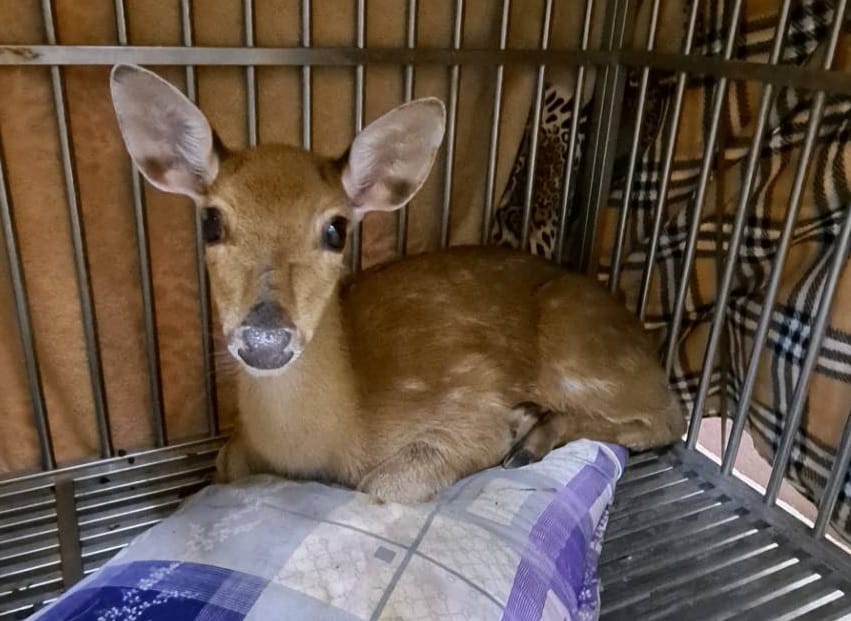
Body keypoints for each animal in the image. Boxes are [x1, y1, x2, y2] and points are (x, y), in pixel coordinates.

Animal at [109, 64, 685, 504]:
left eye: (336, 229)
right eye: (211, 221)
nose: (265, 338)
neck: (332, 439)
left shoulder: (468, 404)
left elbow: (384, 485)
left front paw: (511, 428)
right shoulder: (234, 453)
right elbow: (223, 470)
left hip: (578, 351)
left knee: (665, 419)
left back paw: (530, 434)